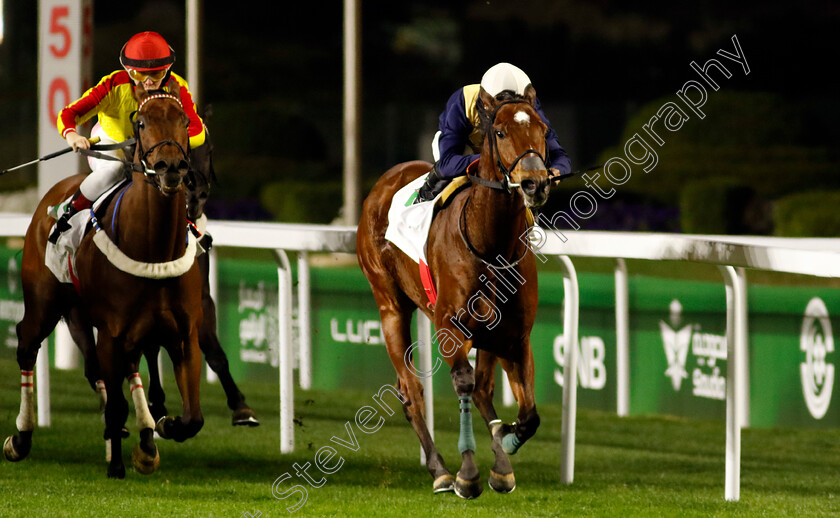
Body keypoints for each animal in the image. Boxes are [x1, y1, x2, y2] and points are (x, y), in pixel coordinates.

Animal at [3, 85, 205, 480]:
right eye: (141, 123)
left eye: (184, 120)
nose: (171, 167)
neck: (154, 249)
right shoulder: (113, 330)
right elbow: (115, 404)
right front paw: (117, 464)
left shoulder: (182, 333)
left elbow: (193, 418)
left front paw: (161, 428)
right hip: (45, 302)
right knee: (26, 344)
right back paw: (21, 437)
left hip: (87, 314)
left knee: (111, 369)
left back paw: (145, 437)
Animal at [360, 85, 552, 500]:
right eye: (500, 132)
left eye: (543, 130)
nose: (536, 183)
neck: (491, 244)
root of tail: (385, 181)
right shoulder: (450, 327)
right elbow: (463, 385)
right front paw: (469, 473)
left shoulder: (514, 337)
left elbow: (527, 415)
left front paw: (504, 449)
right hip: (390, 304)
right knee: (411, 391)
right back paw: (440, 470)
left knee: (482, 390)